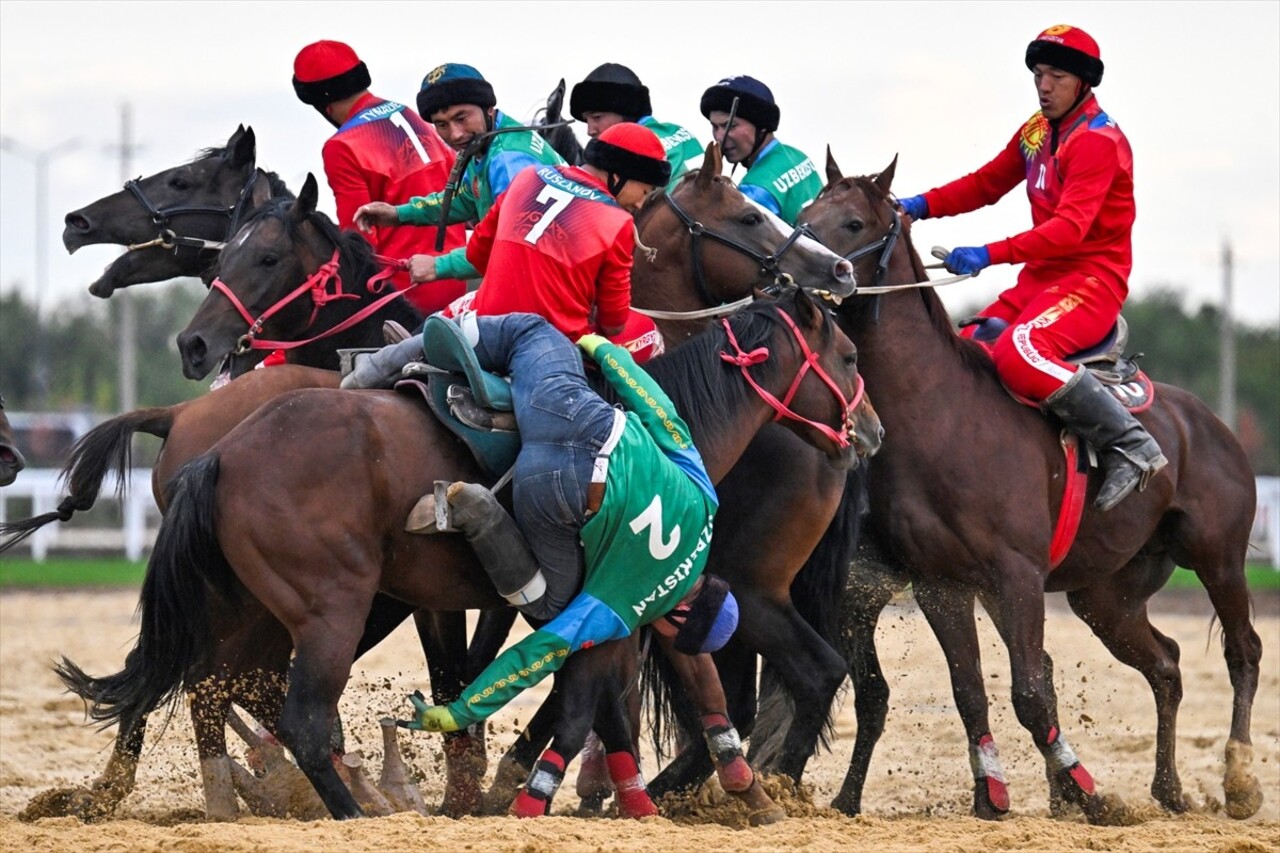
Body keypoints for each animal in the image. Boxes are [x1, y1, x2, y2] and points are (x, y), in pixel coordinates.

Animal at [793, 151, 1264, 819]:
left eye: (854, 222)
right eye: (806, 212)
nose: (789, 268)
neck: (942, 412)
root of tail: (1209, 424)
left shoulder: (1015, 577)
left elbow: (1030, 692)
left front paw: (1088, 795)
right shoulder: (942, 585)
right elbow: (969, 691)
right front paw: (992, 794)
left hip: (1217, 558)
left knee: (1242, 651)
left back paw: (1240, 779)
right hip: (1106, 597)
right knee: (1166, 665)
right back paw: (1168, 789)